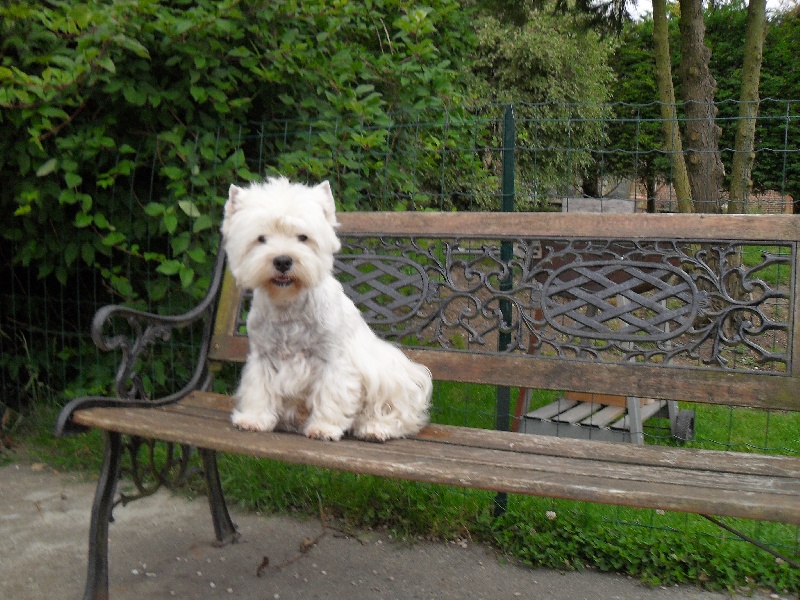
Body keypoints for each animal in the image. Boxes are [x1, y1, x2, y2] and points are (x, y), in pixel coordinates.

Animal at [221, 177, 432, 441]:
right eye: (261, 238)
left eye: (303, 237)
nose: (283, 261)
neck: (288, 306)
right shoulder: (263, 356)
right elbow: (259, 389)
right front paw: (253, 419)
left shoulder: (333, 360)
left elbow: (331, 395)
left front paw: (324, 428)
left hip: (390, 377)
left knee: (396, 414)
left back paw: (375, 429)